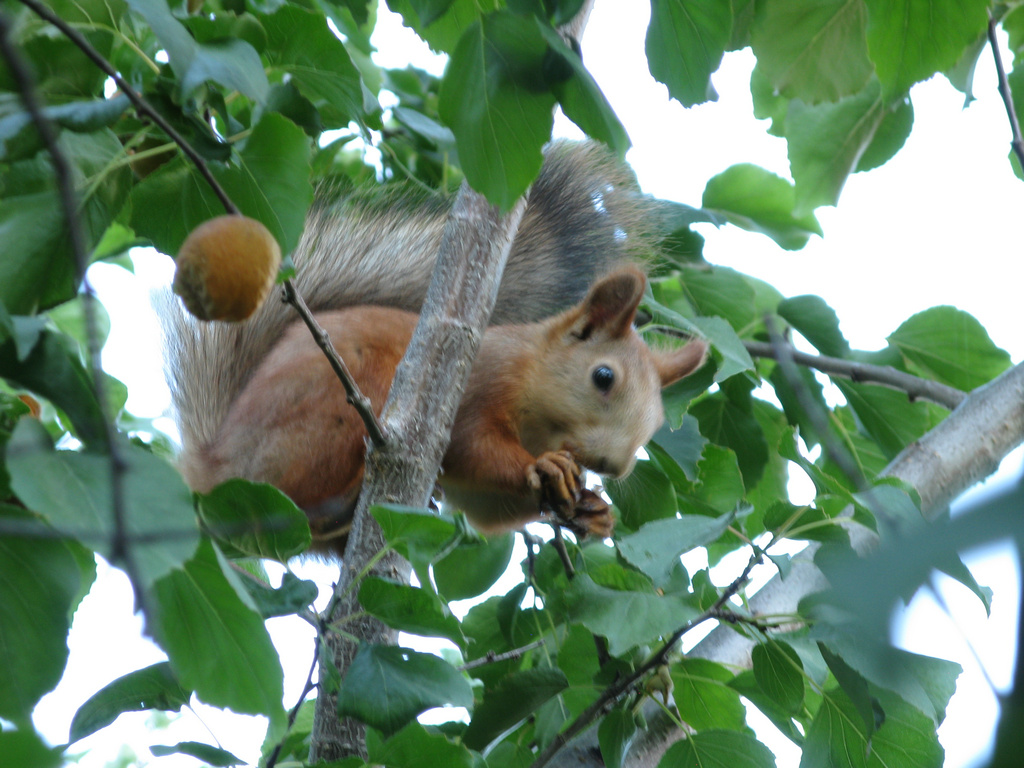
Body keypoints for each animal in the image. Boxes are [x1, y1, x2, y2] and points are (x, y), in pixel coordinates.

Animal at [163, 143, 708, 552]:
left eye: (658, 421)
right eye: (603, 377)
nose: (614, 467)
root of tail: (213, 467)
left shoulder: (484, 499)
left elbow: (490, 512)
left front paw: (594, 511)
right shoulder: (479, 383)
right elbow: (471, 445)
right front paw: (543, 467)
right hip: (331, 412)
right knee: (304, 497)